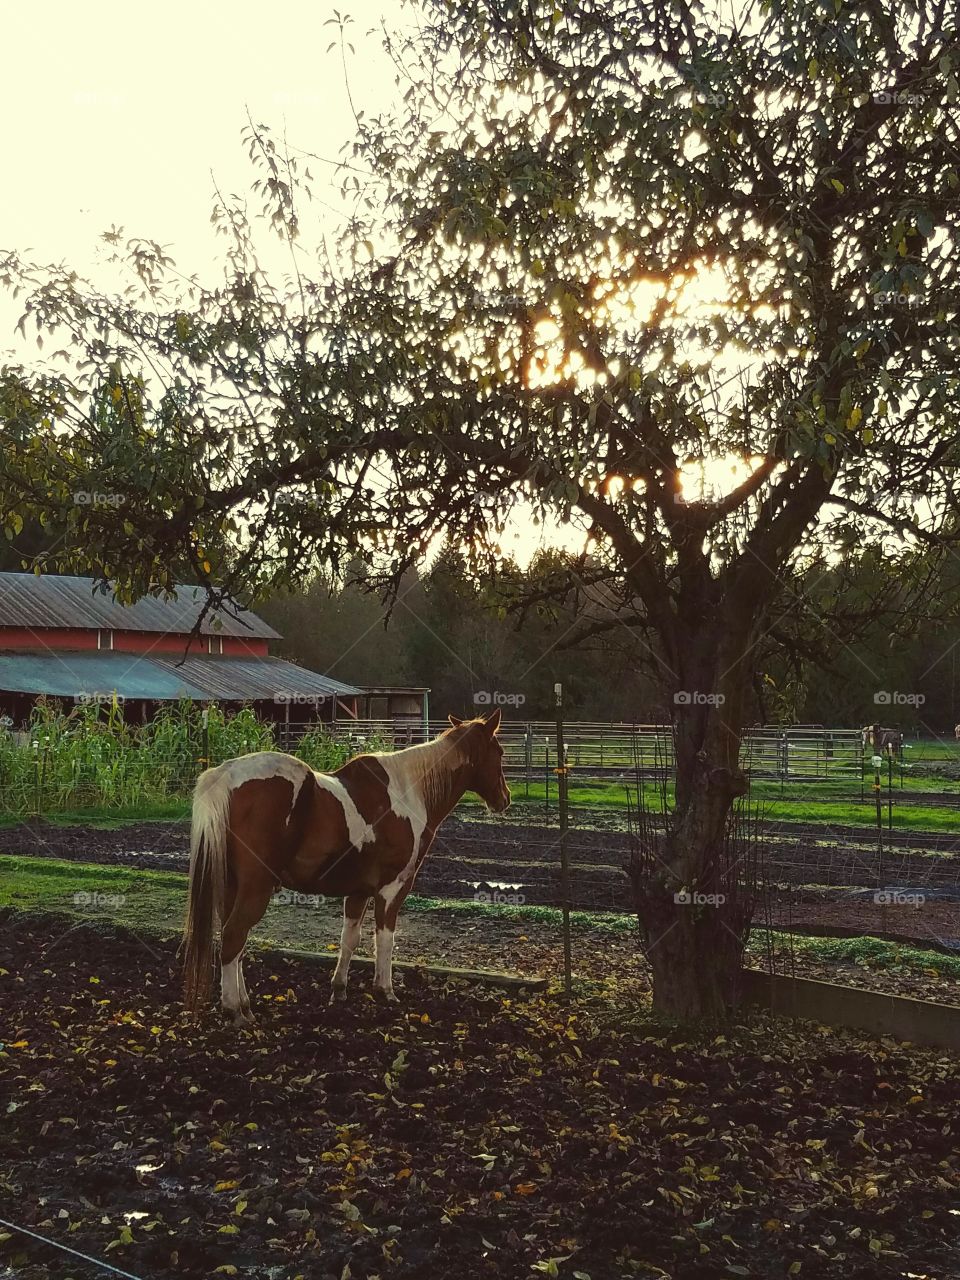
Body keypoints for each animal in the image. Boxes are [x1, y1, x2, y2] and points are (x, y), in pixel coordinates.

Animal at [181, 711, 512, 1018]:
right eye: (498, 752)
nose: (505, 798)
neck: (408, 792)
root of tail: (225, 774)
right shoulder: (393, 889)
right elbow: (385, 939)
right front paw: (385, 991)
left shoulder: (358, 892)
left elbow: (349, 940)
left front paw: (338, 990)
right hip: (255, 888)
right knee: (234, 938)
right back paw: (235, 1010)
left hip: (232, 886)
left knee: (234, 943)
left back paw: (245, 1005)